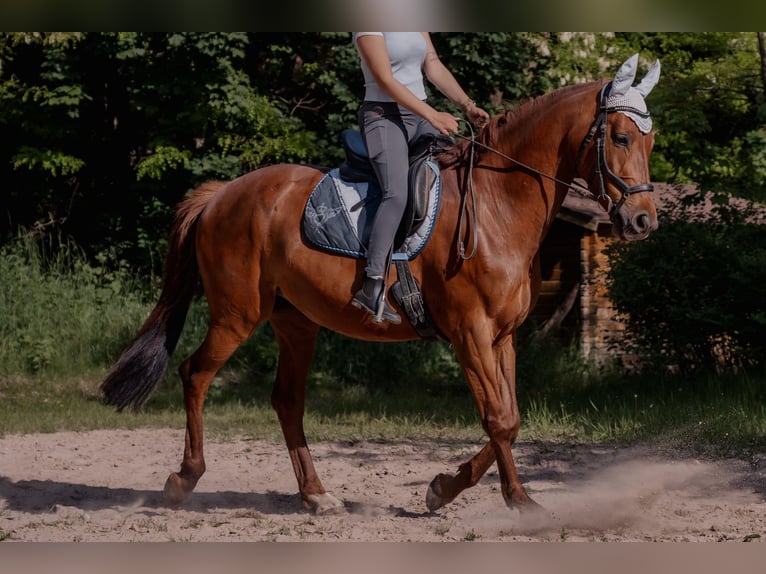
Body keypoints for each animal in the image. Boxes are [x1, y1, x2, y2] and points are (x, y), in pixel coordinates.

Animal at [100, 54, 661, 515]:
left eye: (649, 140)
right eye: (620, 137)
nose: (642, 221)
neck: (498, 204)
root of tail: (220, 195)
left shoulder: (502, 337)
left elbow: (512, 417)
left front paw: (448, 488)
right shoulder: (471, 333)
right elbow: (498, 418)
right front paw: (514, 500)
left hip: (296, 322)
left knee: (287, 401)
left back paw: (316, 495)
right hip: (237, 315)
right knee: (195, 375)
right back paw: (183, 480)